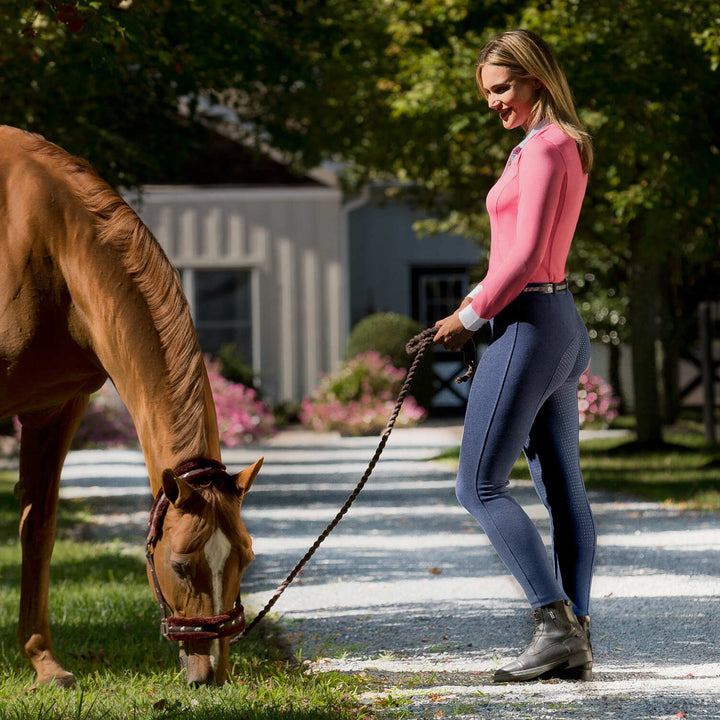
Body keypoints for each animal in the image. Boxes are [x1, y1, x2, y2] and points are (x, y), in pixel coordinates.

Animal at [0, 126, 262, 688]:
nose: (212, 673)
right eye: (180, 565)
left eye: (247, 558)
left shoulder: (59, 406)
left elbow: (39, 526)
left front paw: (43, 661)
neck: (44, 241)